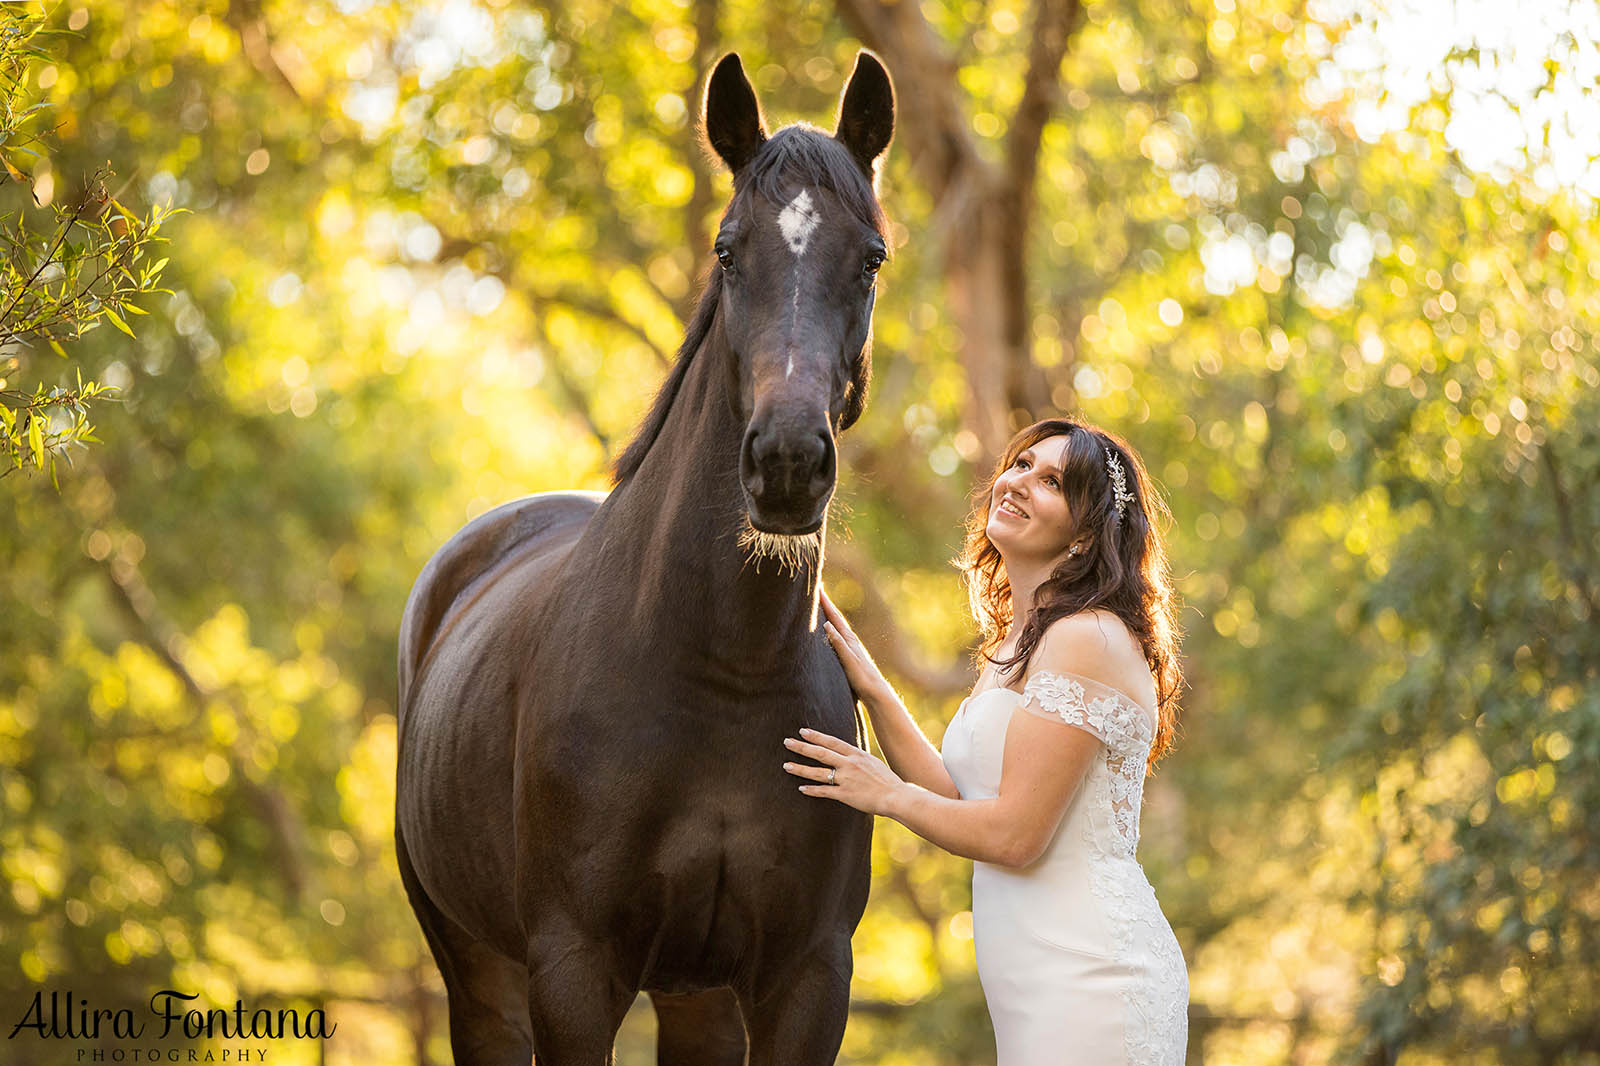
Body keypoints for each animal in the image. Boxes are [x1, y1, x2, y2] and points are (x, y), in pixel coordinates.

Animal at [393, 52, 896, 1062]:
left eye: (869, 258)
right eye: (729, 251)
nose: (787, 462)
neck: (724, 674)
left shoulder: (808, 980)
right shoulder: (574, 974)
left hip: (697, 996)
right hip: (475, 969)